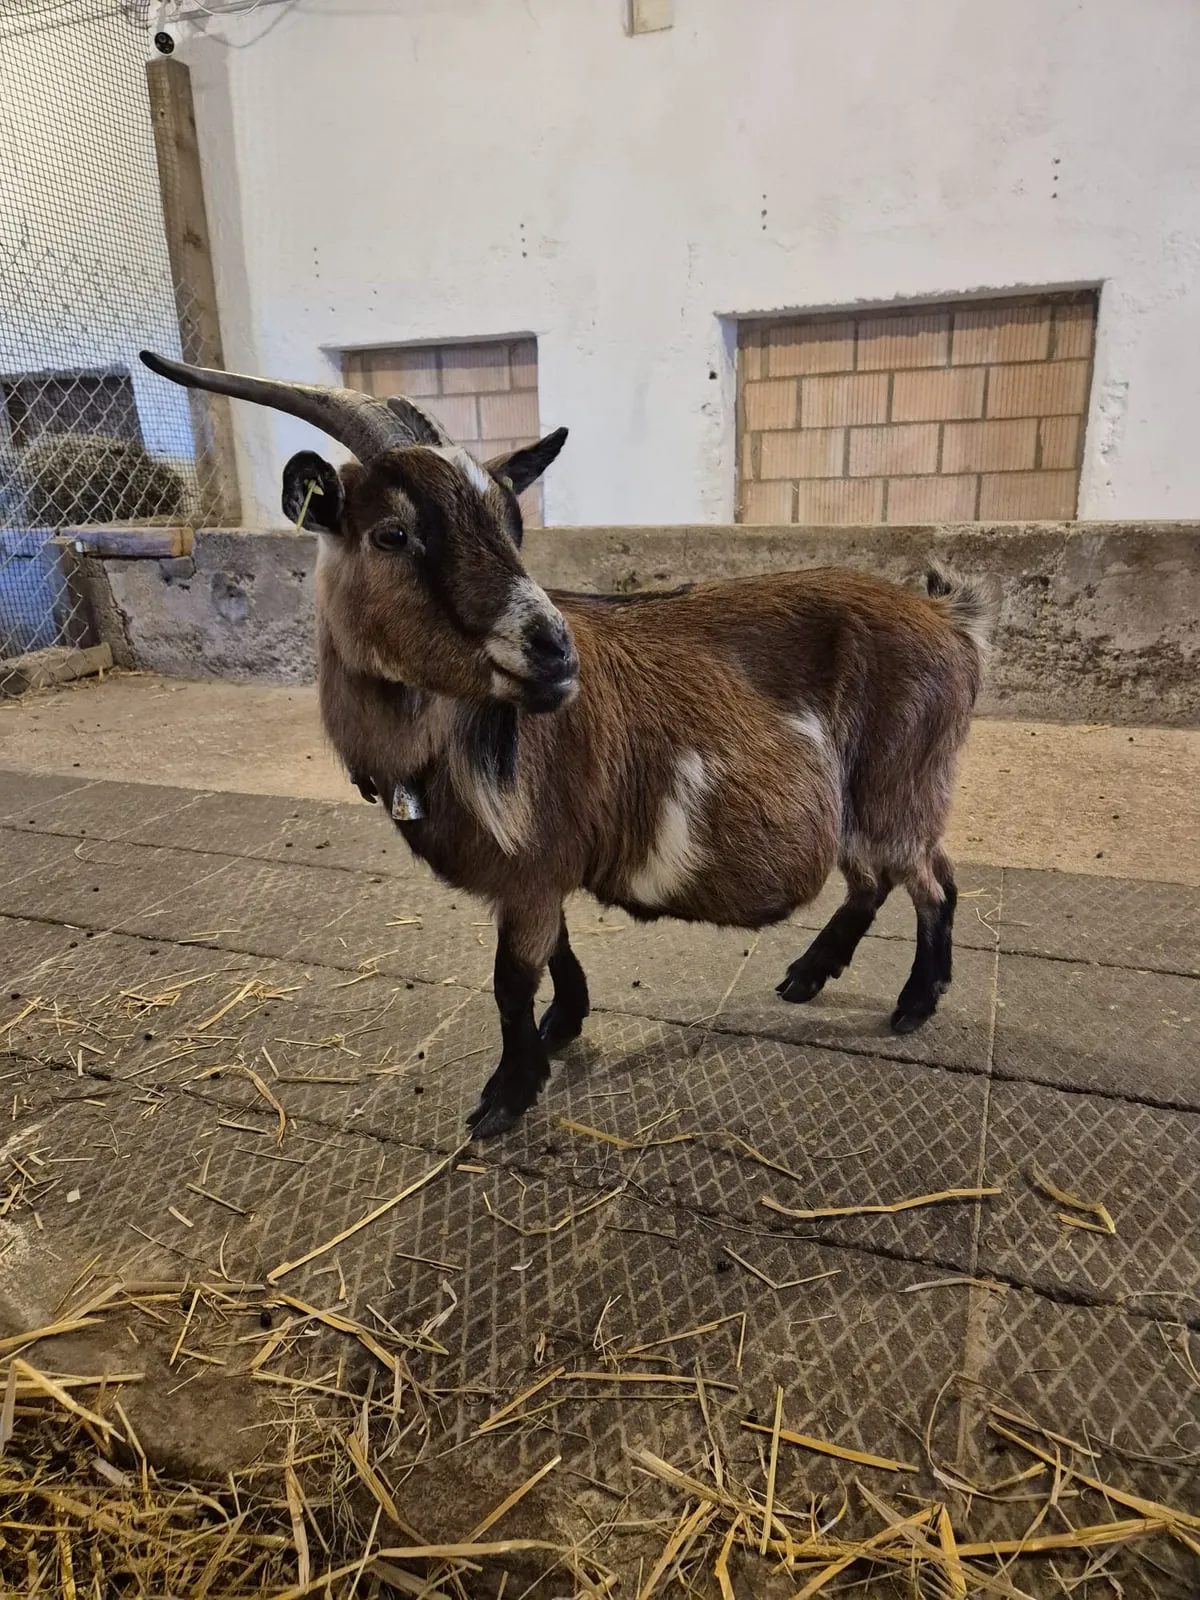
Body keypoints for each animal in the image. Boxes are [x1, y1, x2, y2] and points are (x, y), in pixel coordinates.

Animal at [142, 351, 997, 1139]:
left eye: (511, 525)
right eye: (392, 533)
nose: (556, 653)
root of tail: (950, 620)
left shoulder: (534, 863)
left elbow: (511, 979)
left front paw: (507, 1094)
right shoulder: (538, 868)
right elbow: (555, 947)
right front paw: (564, 1026)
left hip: (900, 783)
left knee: (932, 882)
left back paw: (914, 1004)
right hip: (868, 800)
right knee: (875, 880)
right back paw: (808, 976)